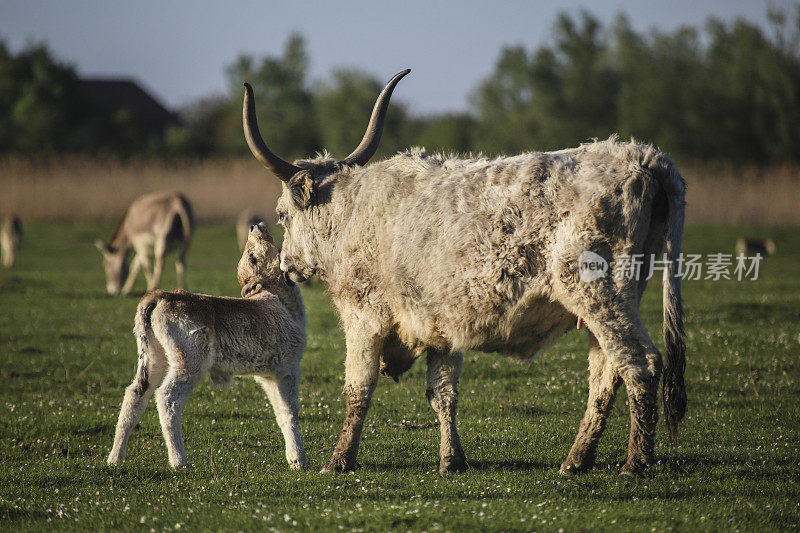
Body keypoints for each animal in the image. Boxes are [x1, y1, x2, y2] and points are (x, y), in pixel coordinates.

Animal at [241, 69, 684, 474]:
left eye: (281, 214)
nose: (288, 266)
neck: (352, 213)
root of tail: (643, 158)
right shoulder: (441, 324)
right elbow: (443, 393)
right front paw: (451, 459)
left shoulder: (363, 317)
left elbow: (358, 389)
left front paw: (339, 460)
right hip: (609, 305)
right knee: (605, 376)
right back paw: (576, 460)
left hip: (599, 295)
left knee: (640, 365)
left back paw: (636, 462)